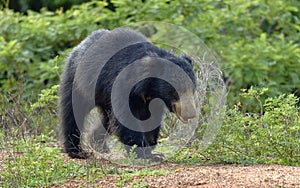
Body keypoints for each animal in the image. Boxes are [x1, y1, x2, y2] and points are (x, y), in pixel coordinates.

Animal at [59, 27, 198, 160]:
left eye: (193, 89)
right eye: (175, 90)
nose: (191, 113)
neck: (148, 89)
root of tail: (81, 44)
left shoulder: (153, 100)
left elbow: (151, 118)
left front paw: (151, 149)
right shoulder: (122, 84)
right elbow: (126, 118)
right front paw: (146, 153)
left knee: (107, 121)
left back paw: (98, 144)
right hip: (79, 81)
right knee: (72, 113)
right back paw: (77, 151)